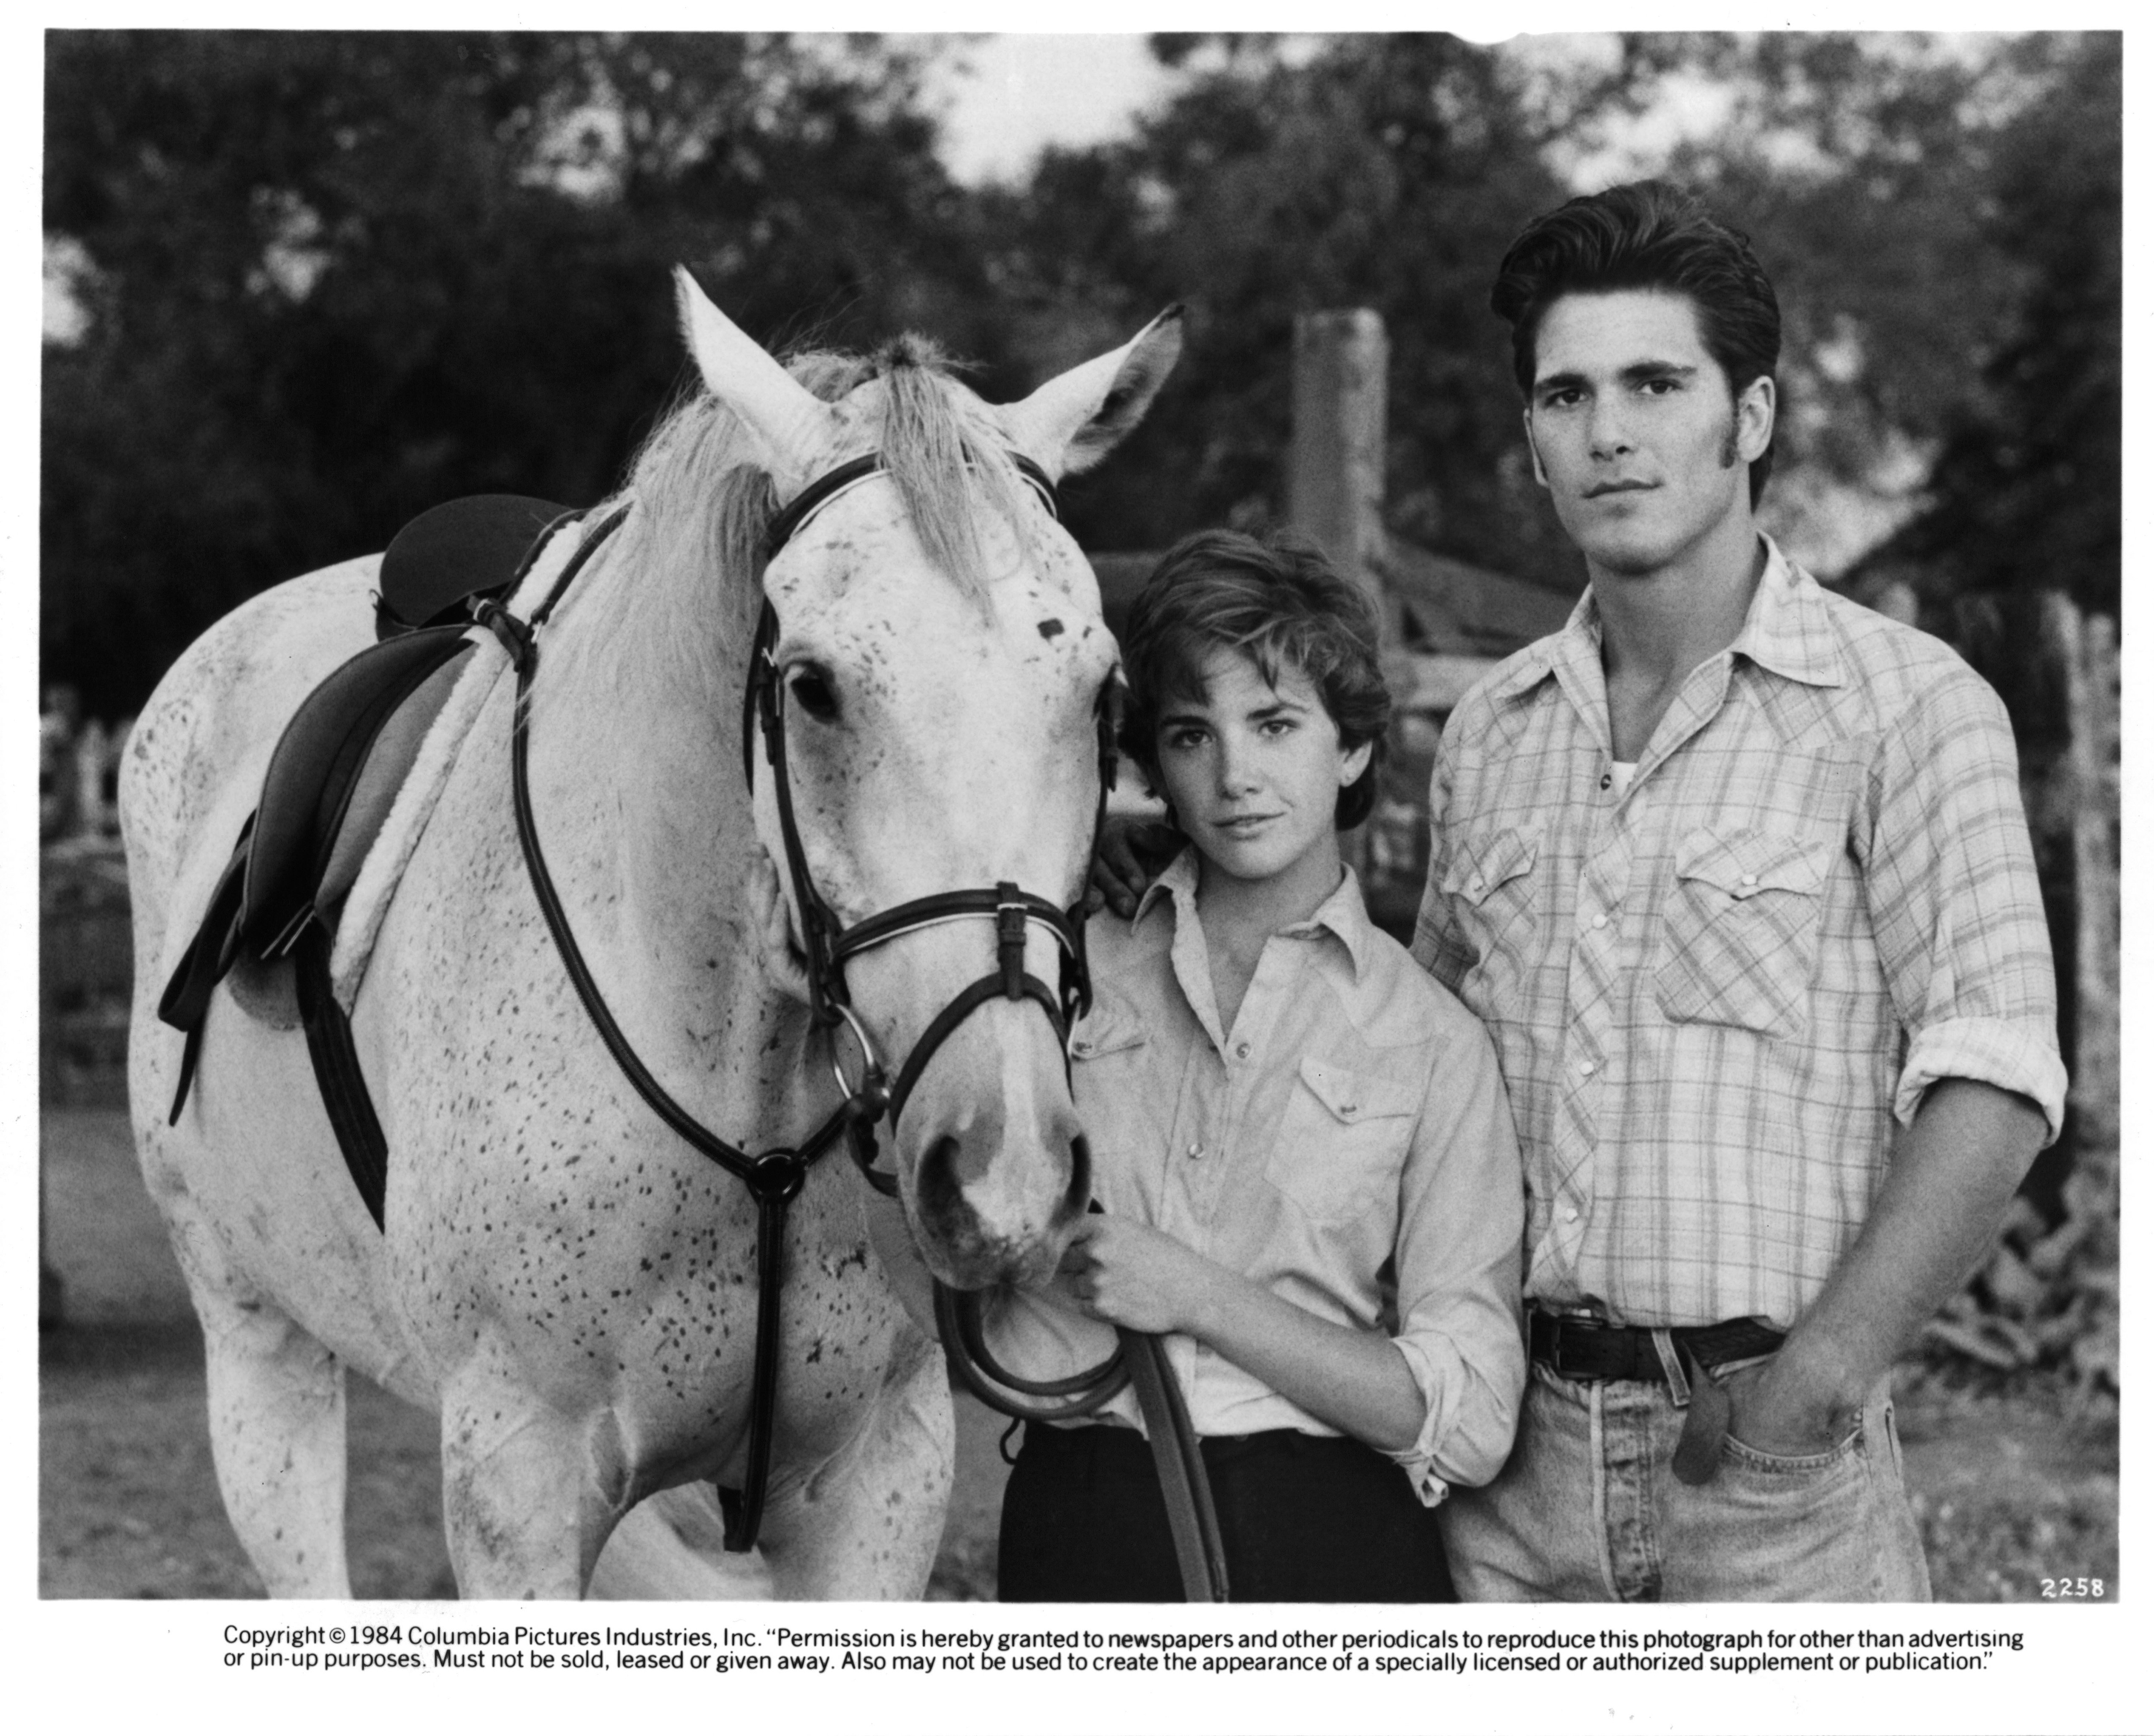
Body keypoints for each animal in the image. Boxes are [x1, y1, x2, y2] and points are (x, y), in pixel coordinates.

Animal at [122, 275, 1180, 1602]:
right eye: (810, 686)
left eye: (1102, 695)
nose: (1006, 1168)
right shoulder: (516, 1482)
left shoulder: (881, 1479)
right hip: (256, 1342)